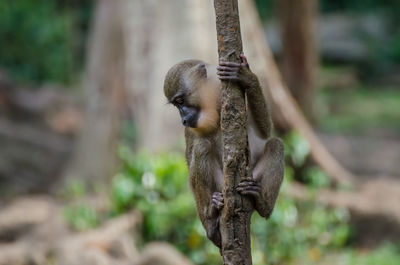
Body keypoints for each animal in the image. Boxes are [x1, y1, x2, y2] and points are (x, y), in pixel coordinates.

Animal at [163, 53, 284, 248]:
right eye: (176, 105)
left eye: (180, 101)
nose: (183, 119)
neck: (214, 107)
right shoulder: (192, 128)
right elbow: (190, 158)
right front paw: (209, 226)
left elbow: (265, 131)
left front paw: (247, 76)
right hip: (221, 186)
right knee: (202, 147)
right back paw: (211, 212)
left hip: (250, 177)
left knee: (276, 144)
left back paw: (262, 204)